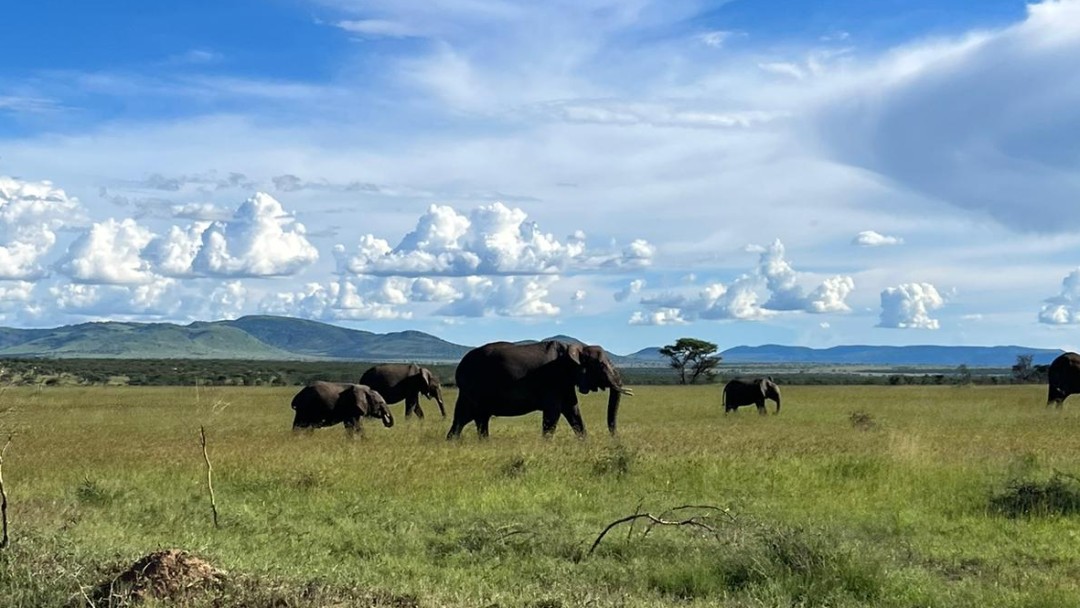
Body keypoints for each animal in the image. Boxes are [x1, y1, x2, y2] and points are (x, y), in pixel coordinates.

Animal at [444, 341, 630, 440]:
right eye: (601, 365)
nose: (615, 439)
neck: (576, 348)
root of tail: (459, 367)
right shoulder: (553, 380)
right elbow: (553, 413)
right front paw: (546, 446)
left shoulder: (565, 383)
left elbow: (573, 411)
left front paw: (586, 444)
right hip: (474, 388)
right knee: (473, 418)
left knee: (466, 418)